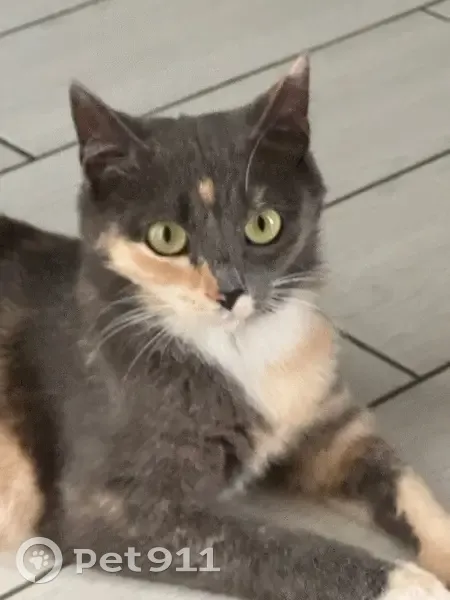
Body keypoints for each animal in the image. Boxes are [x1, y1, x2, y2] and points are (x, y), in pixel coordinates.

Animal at [0, 55, 450, 599]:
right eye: (165, 237)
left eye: (263, 225)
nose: (230, 291)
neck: (242, 346)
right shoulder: (109, 506)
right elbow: (270, 546)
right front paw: (411, 583)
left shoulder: (334, 430)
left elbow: (409, 489)